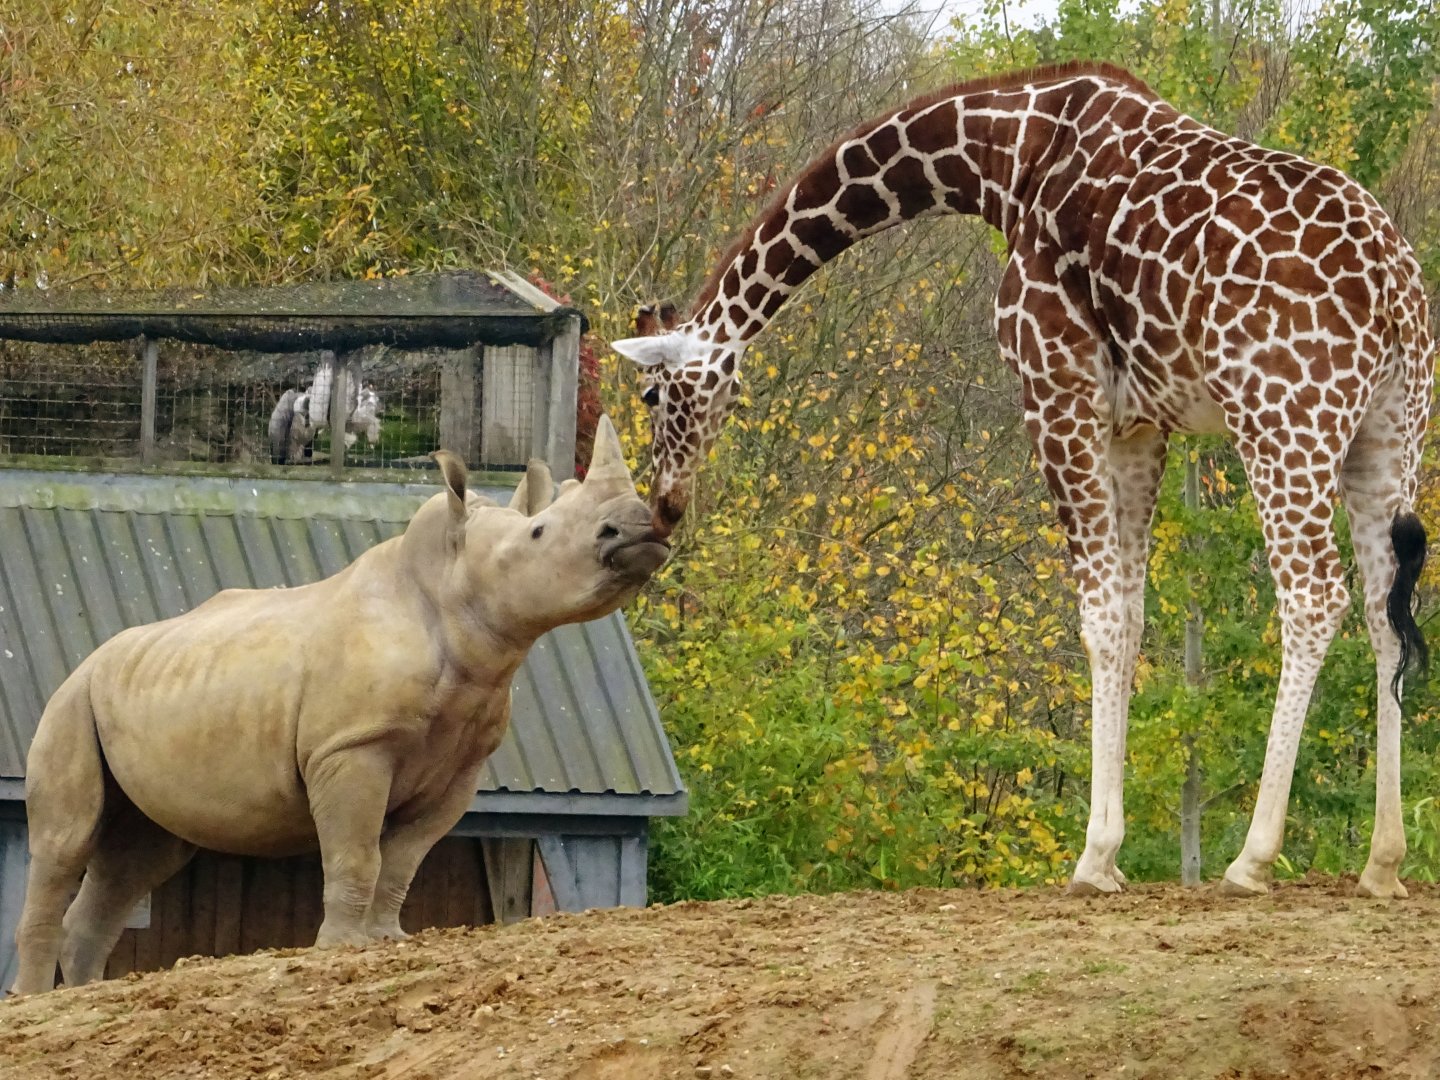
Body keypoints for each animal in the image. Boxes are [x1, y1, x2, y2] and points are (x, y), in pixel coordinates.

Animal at [12, 416, 669, 995]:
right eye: (539, 535)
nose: (639, 528)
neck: (453, 595)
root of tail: (90, 658)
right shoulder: (352, 747)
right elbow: (357, 852)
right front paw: (342, 948)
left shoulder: (460, 769)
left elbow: (402, 860)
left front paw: (387, 941)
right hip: (71, 700)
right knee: (65, 842)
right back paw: (32, 1000)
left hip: (131, 692)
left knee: (138, 857)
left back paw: (81, 995)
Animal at [610, 62, 1434, 897]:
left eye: (650, 395)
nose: (668, 504)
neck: (1000, 156)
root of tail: (1395, 289)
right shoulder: (1138, 423)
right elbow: (1131, 616)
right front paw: (1109, 855)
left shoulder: (1055, 388)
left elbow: (1100, 619)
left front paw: (1094, 855)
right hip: (1388, 431)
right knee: (1384, 608)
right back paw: (1383, 860)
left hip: (1281, 421)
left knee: (1313, 595)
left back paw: (1253, 859)